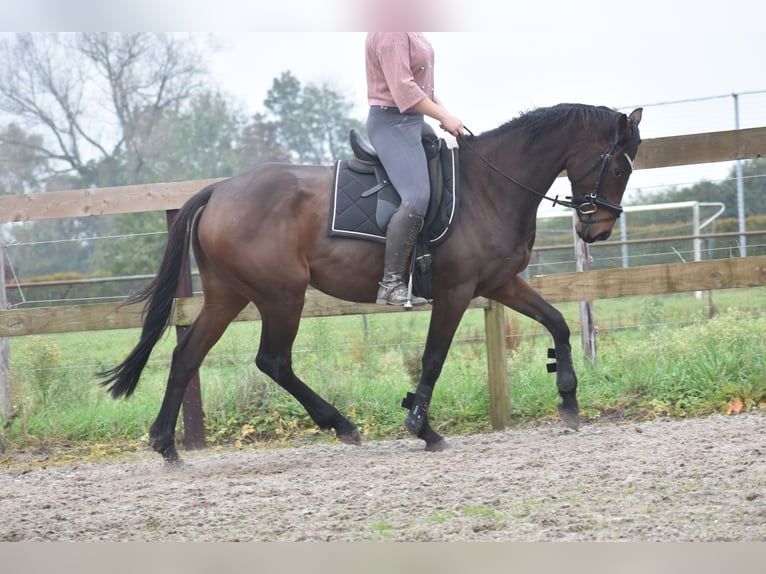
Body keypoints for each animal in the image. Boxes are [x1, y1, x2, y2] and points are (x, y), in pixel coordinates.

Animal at [99, 103, 644, 466]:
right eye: (619, 166)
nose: (597, 231)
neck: (489, 187)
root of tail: (217, 191)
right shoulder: (456, 292)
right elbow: (433, 357)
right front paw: (422, 427)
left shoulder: (500, 283)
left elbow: (557, 324)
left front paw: (569, 399)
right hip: (281, 295)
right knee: (272, 361)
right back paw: (340, 424)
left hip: (228, 295)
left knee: (187, 354)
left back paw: (166, 445)